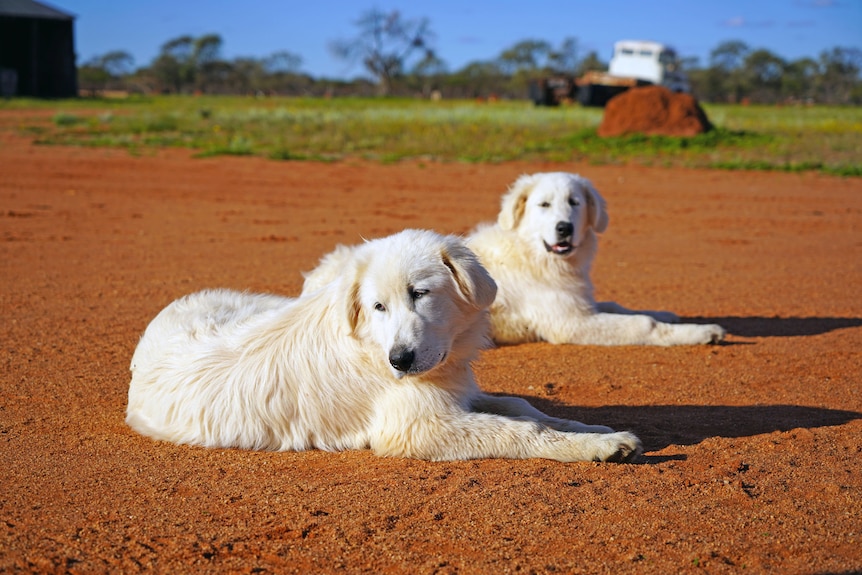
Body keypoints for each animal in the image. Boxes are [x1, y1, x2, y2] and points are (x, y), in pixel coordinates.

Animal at [128, 230, 640, 464]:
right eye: (378, 306)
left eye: (420, 293)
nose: (400, 361)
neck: (371, 344)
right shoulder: (416, 429)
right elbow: (520, 432)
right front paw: (597, 446)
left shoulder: (455, 392)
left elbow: (524, 407)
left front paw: (590, 427)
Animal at [466, 173, 728, 346]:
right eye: (544, 204)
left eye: (574, 202)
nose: (564, 228)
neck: (531, 254)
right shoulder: (569, 323)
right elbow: (643, 323)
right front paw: (703, 332)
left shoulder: (581, 303)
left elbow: (618, 306)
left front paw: (665, 313)